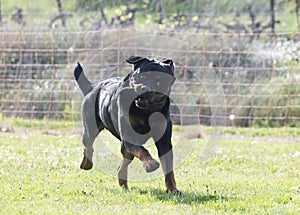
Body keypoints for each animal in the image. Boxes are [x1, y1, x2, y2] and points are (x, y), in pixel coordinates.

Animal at [74, 55, 178, 193]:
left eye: (159, 81)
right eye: (141, 75)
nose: (144, 88)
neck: (146, 112)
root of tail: (93, 88)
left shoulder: (164, 141)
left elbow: (168, 169)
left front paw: (172, 189)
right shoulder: (129, 137)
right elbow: (142, 150)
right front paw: (150, 163)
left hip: (124, 148)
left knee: (122, 165)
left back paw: (123, 184)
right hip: (90, 128)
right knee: (88, 145)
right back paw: (86, 164)